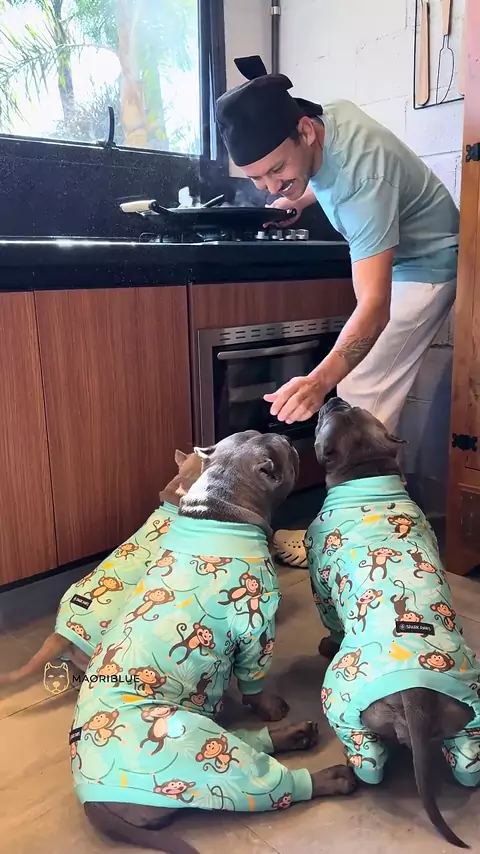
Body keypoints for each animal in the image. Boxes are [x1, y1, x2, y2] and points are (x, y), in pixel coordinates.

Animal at [73, 430, 356, 854]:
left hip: (208, 732)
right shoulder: (256, 632)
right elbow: (255, 682)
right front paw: (270, 705)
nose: (286, 434)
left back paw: (295, 735)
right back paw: (329, 775)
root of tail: (91, 803)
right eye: (285, 452)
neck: (220, 507)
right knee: (269, 780)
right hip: (201, 753)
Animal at [305, 397, 480, 848]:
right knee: (467, 758)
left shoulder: (319, 580)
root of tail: (416, 695)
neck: (366, 470)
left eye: (327, 418)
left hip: (342, 704)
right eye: (351, 407)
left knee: (368, 756)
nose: (333, 398)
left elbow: (329, 617)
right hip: (466, 719)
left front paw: (326, 642)